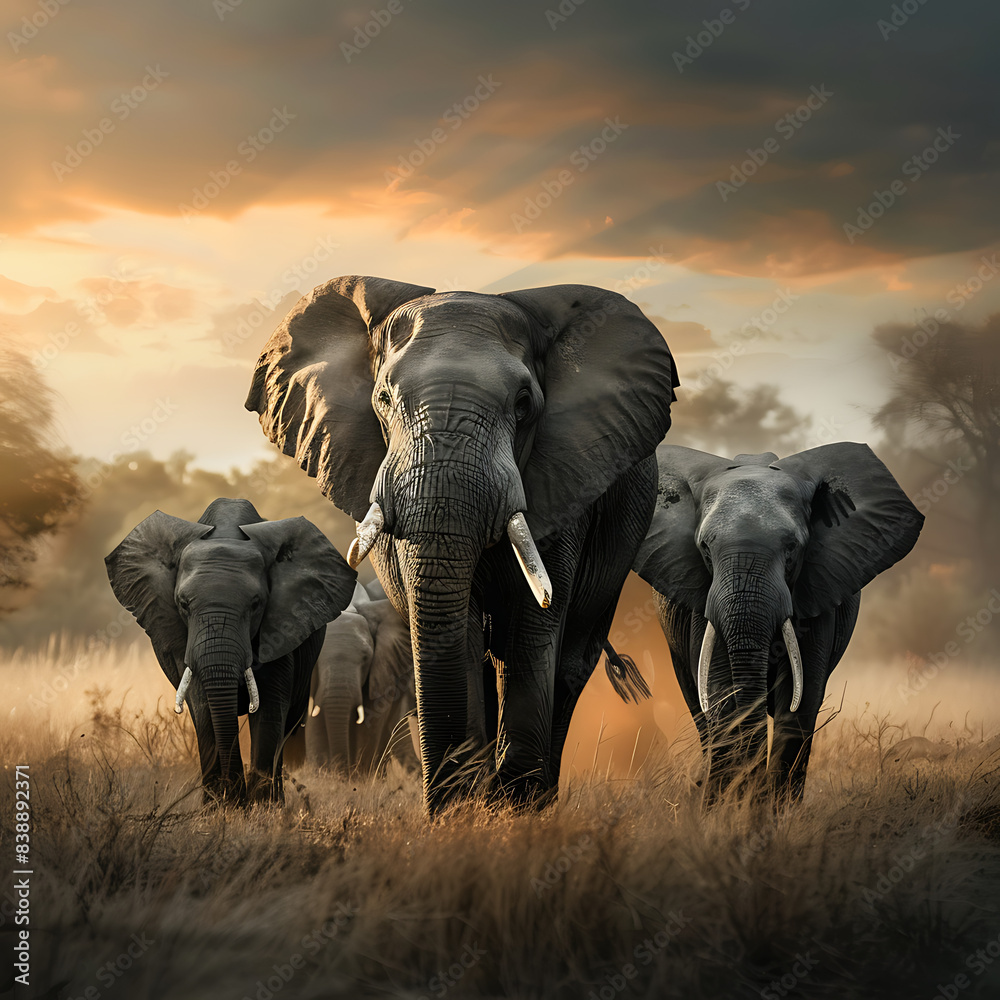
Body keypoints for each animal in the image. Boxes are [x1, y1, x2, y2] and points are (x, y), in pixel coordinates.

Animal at [105, 498, 356, 805]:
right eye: (183, 604)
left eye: (256, 604)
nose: (234, 795)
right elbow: (202, 706)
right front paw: (221, 807)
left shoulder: (280, 626)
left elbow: (270, 706)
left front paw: (260, 808)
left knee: (289, 722)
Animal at [306, 580, 419, 774]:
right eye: (316, 660)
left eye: (366, 658)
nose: (341, 769)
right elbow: (314, 720)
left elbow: (372, 719)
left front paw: (360, 775)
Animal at [632, 443, 923, 801]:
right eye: (704, 548)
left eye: (792, 548)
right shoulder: (700, 601)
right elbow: (722, 697)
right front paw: (731, 805)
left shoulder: (817, 590)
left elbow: (799, 702)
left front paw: (769, 809)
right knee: (699, 710)